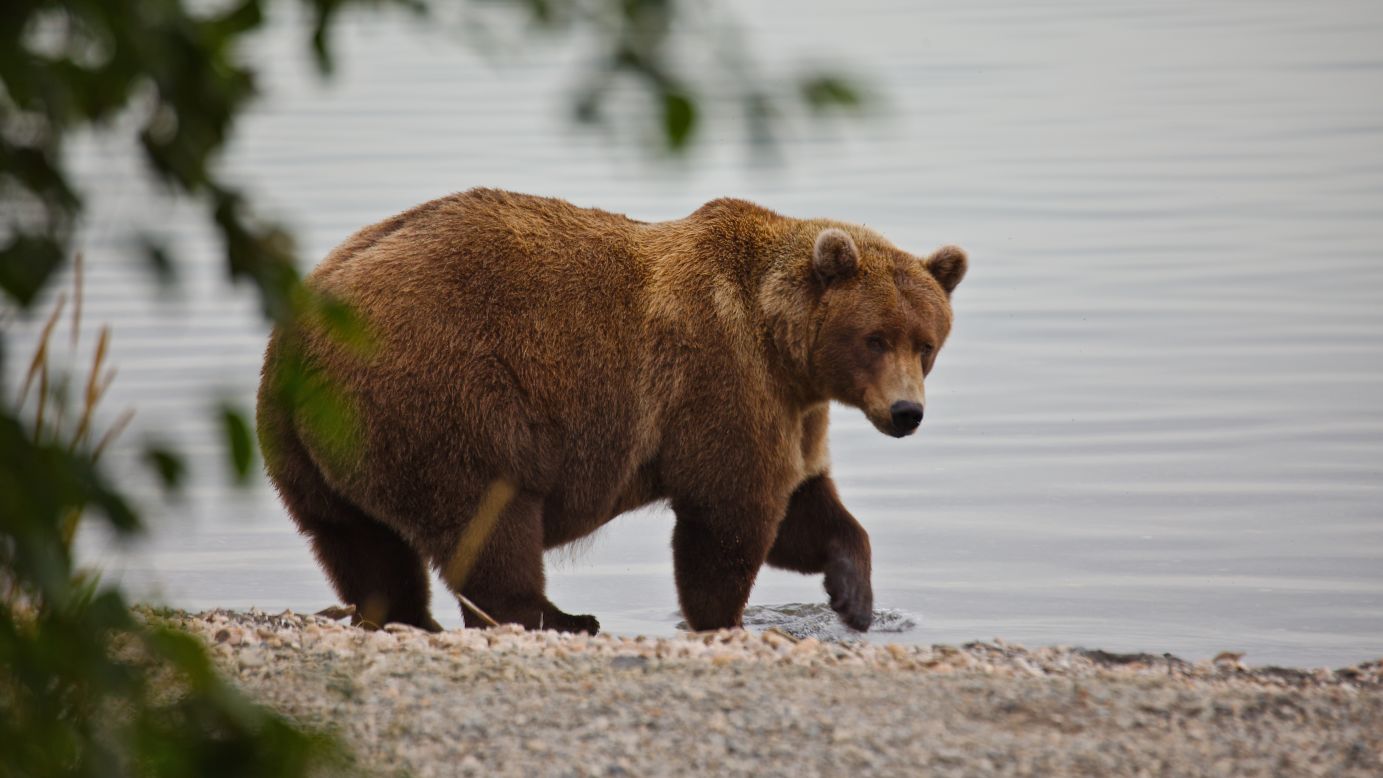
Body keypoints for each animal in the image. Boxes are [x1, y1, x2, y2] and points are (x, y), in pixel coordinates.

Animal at [256, 188, 966, 634]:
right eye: (875, 338)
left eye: (926, 343)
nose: (907, 412)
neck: (782, 345)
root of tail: (303, 328)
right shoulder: (723, 380)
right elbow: (731, 514)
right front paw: (722, 617)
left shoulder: (793, 410)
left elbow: (805, 507)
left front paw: (854, 597)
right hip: (445, 392)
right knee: (489, 514)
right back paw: (560, 616)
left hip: (310, 444)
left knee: (357, 539)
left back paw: (405, 614)